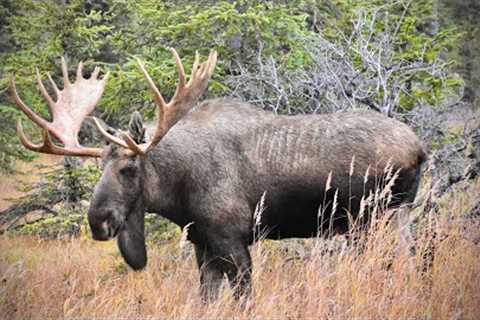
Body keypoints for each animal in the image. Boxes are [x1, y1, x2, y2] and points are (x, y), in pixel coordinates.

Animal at [11, 48, 426, 302]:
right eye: (99, 167)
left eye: (128, 169)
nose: (98, 221)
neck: (177, 193)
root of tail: (420, 149)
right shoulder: (203, 245)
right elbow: (206, 300)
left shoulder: (233, 240)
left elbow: (243, 299)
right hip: (384, 219)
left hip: (378, 218)